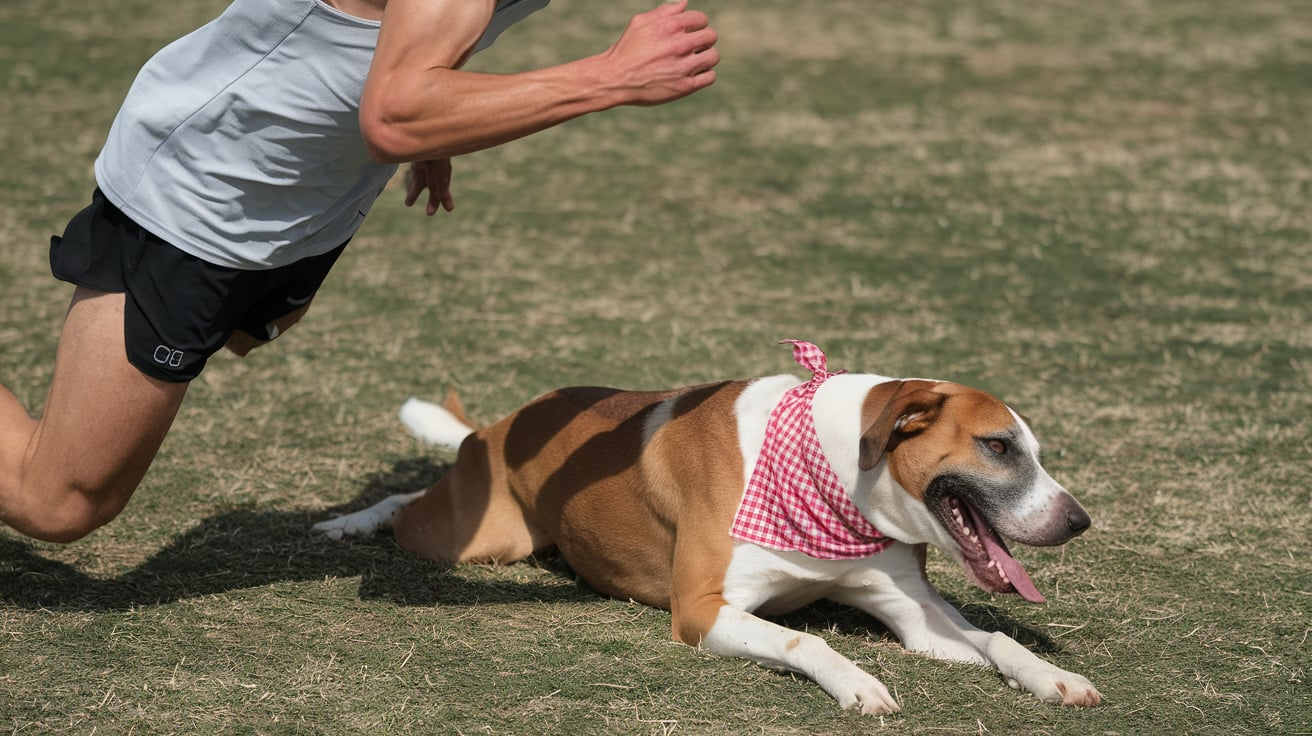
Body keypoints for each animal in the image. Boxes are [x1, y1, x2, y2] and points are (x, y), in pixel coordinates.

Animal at [312, 346, 1102, 713]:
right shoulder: (699, 609)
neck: (828, 472)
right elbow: (805, 638)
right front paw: (858, 683)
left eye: (1034, 448)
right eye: (998, 446)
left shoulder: (913, 614)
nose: (1079, 520)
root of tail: (504, 424)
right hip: (478, 536)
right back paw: (347, 522)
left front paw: (1054, 677)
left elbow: (996, 638)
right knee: (408, 504)